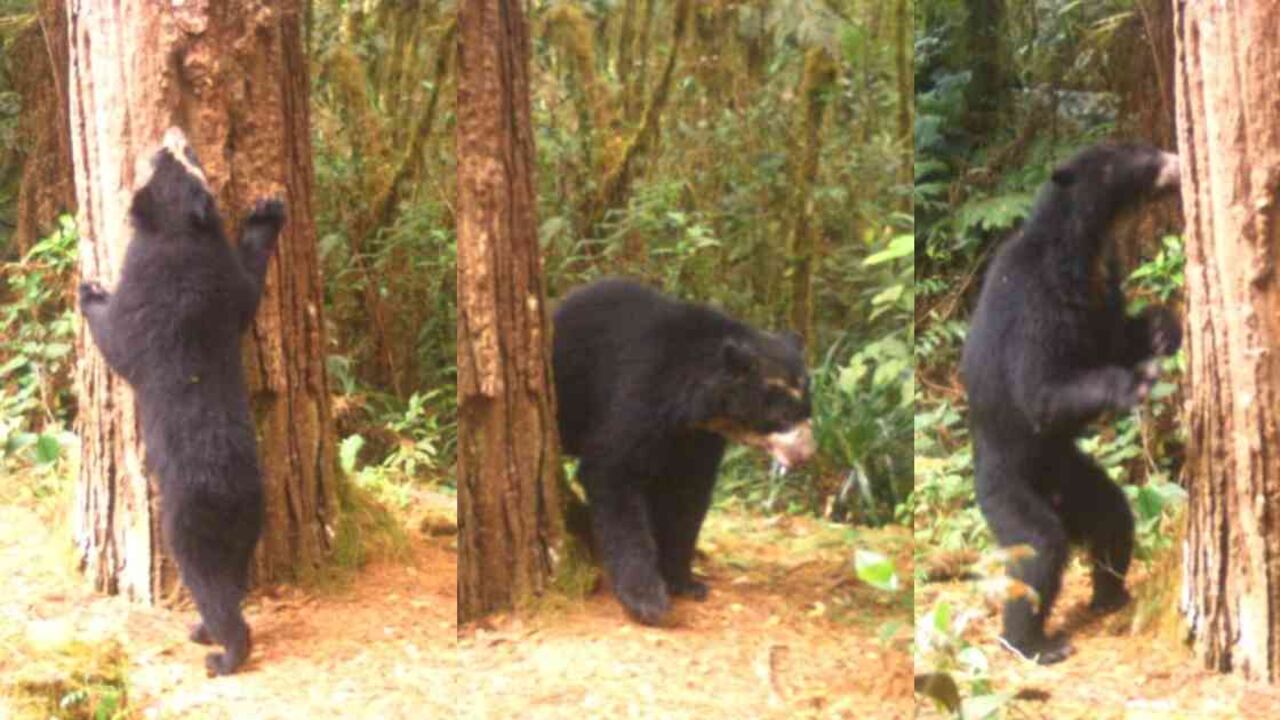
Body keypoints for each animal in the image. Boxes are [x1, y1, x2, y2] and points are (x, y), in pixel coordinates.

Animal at [79, 127, 284, 676]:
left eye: (173, 156)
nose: (172, 132)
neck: (179, 234)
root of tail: (236, 497)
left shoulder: (145, 300)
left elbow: (116, 340)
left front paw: (89, 289)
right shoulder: (224, 287)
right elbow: (249, 285)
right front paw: (268, 210)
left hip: (189, 530)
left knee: (215, 591)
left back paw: (221, 652)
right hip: (245, 536)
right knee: (235, 583)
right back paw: (203, 631)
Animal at [552, 278, 816, 625]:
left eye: (808, 410)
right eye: (783, 417)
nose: (807, 453)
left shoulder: (698, 437)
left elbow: (688, 497)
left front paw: (686, 582)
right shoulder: (639, 392)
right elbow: (613, 472)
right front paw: (647, 600)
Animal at [959, 142, 1182, 664]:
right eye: (1133, 155)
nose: (1175, 159)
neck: (1084, 246)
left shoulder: (1104, 284)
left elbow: (1113, 337)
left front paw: (1164, 327)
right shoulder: (1037, 298)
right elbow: (1040, 390)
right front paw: (1133, 383)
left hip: (1071, 475)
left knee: (1111, 515)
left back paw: (1110, 595)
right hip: (1007, 488)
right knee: (1038, 550)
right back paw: (1032, 642)